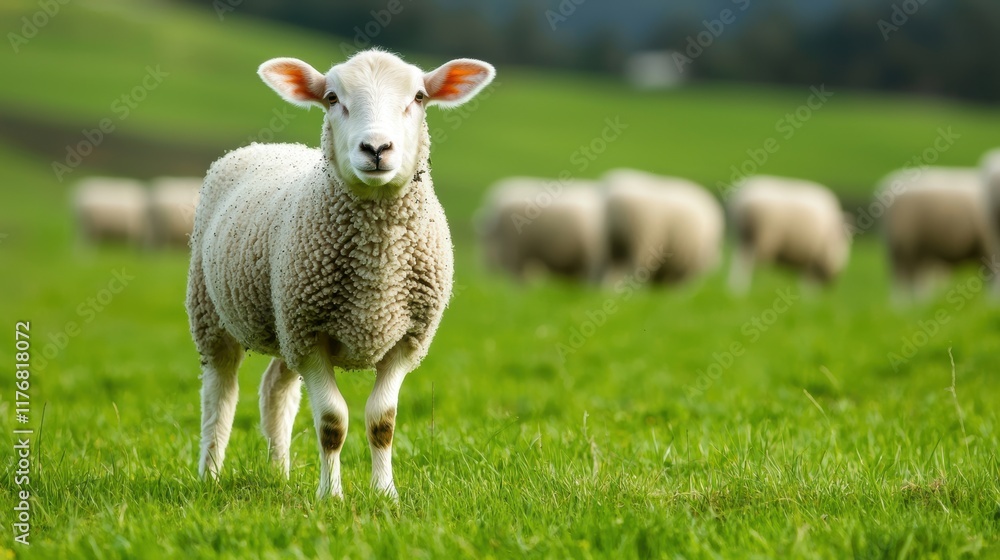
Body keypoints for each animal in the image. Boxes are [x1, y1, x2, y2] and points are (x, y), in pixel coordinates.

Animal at [185, 49, 495, 499]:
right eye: (332, 98)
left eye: (419, 97)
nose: (377, 148)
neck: (377, 267)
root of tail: (269, 145)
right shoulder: (311, 338)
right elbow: (332, 422)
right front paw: (331, 495)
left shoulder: (404, 340)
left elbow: (382, 422)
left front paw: (385, 494)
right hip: (212, 312)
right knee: (219, 395)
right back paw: (209, 473)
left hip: (284, 322)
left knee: (275, 390)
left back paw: (279, 473)